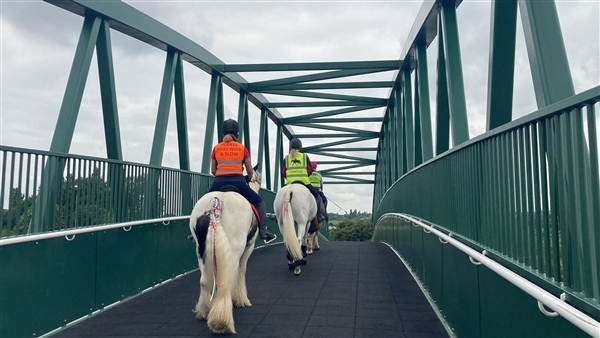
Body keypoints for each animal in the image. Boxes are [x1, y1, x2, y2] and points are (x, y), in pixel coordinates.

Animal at [189, 169, 262, 336]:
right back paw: (221, 322)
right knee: (225, 280)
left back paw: (205, 311)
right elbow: (241, 271)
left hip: (201, 251)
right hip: (235, 247)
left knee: (205, 280)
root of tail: (218, 201)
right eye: (259, 178)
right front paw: (240, 300)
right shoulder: (249, 247)